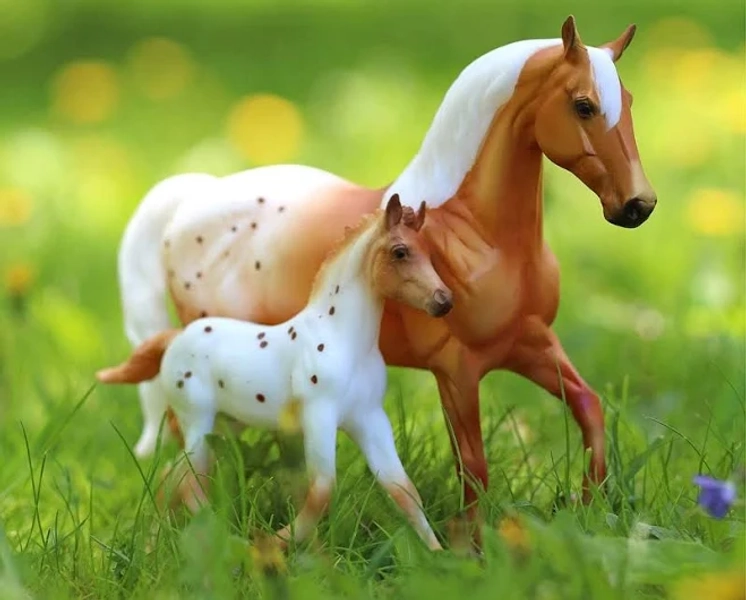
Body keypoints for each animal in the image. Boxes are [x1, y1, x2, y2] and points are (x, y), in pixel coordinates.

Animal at [98, 195, 451, 550]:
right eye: (400, 252)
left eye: (430, 252)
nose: (444, 301)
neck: (344, 340)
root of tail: (175, 338)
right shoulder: (319, 417)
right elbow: (321, 492)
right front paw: (273, 544)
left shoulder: (369, 418)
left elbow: (403, 490)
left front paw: (439, 554)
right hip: (197, 419)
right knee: (188, 483)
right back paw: (222, 541)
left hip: (224, 423)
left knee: (172, 477)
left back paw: (156, 544)